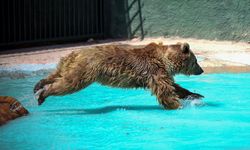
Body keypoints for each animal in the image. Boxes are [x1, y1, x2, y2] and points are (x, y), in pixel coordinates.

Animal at [34, 42, 204, 109]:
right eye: (196, 61)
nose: (201, 70)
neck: (165, 60)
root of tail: (76, 52)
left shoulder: (160, 72)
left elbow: (175, 87)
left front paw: (195, 95)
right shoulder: (154, 70)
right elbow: (165, 90)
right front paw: (177, 105)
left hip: (68, 62)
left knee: (59, 73)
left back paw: (39, 84)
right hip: (87, 69)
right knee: (70, 83)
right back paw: (43, 94)